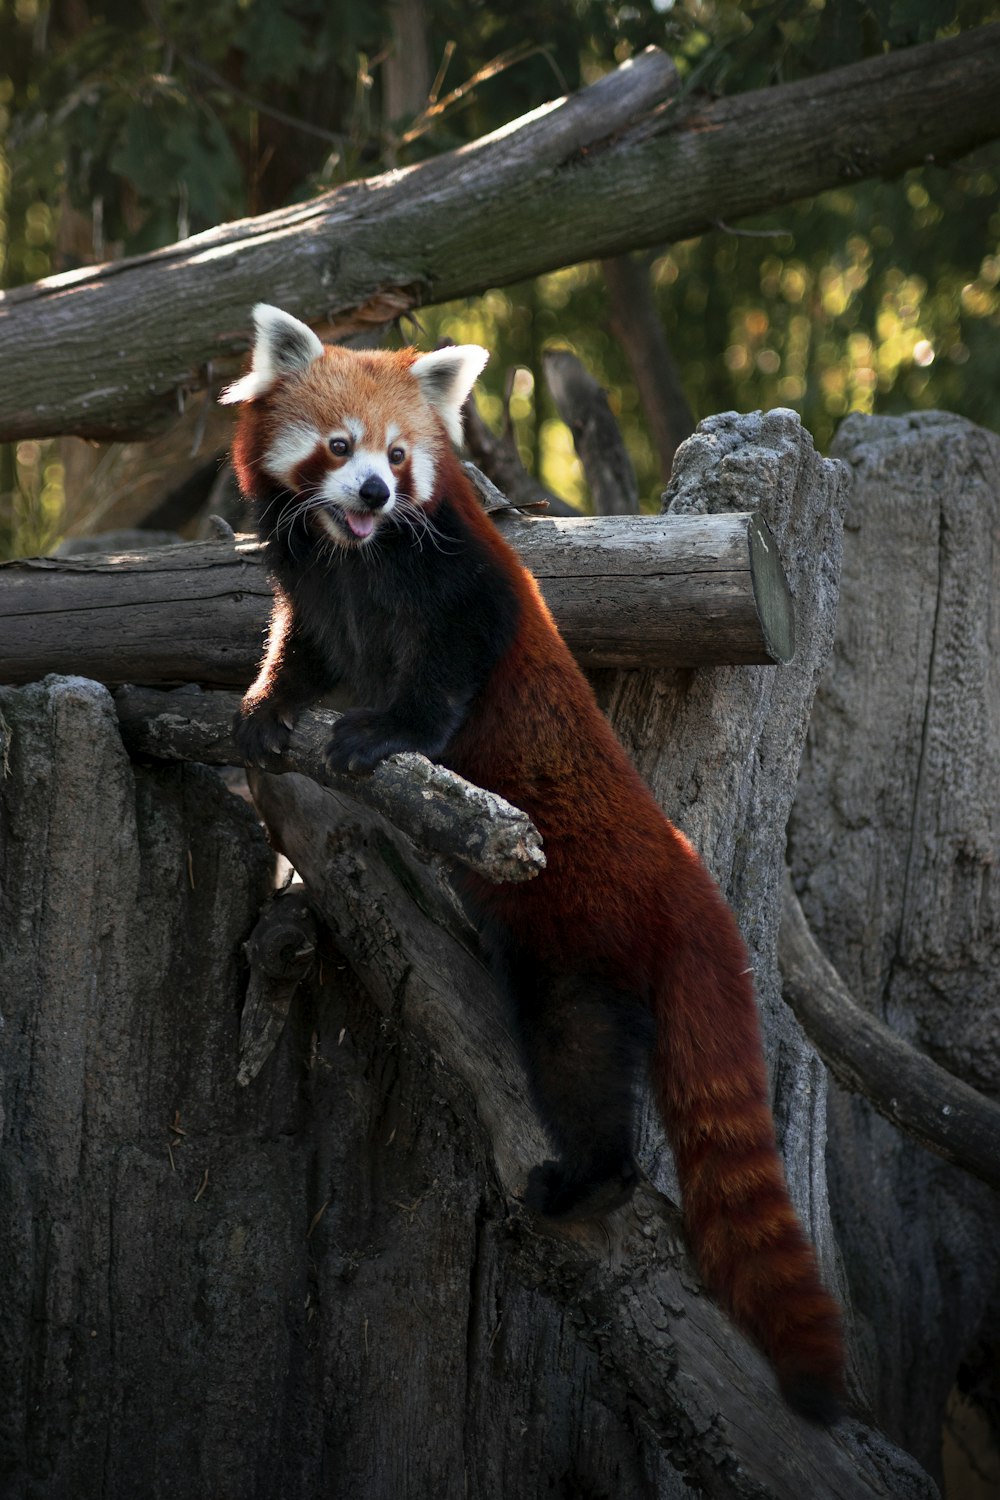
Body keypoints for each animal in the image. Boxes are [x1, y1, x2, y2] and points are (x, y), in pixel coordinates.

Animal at [220, 304, 845, 1416]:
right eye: (339, 448)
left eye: (399, 455)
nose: (376, 493)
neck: (352, 555)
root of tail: (685, 876)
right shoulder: (316, 592)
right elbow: (303, 653)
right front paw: (265, 708)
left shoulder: (465, 584)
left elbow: (445, 672)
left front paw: (383, 735)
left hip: (577, 934)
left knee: (577, 1055)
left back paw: (588, 1177)